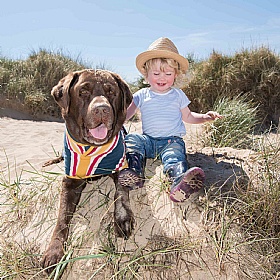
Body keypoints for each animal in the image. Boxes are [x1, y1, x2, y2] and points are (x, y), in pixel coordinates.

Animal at [40, 69, 135, 274]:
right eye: (83, 91)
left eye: (111, 92)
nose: (102, 109)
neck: (91, 148)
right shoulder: (69, 182)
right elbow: (62, 218)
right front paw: (54, 251)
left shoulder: (121, 165)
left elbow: (120, 193)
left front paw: (122, 218)